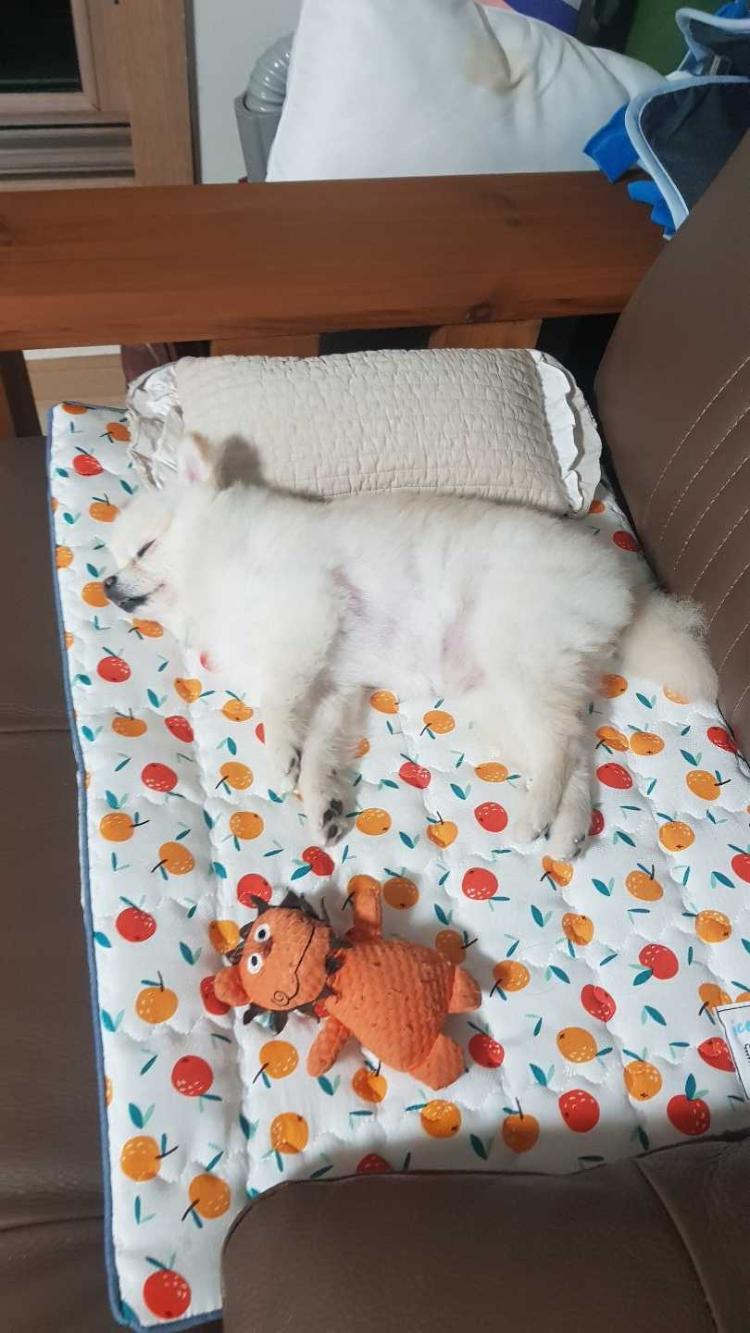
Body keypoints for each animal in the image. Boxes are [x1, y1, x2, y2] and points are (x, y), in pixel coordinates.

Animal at [108, 434, 717, 859]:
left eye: (145, 548)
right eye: (115, 561)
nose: (109, 585)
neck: (214, 567)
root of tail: (623, 582)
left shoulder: (305, 612)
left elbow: (278, 705)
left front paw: (281, 755)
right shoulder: (333, 682)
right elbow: (322, 744)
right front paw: (321, 801)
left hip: (516, 654)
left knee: (561, 743)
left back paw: (533, 815)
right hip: (500, 693)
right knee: (576, 753)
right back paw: (562, 830)